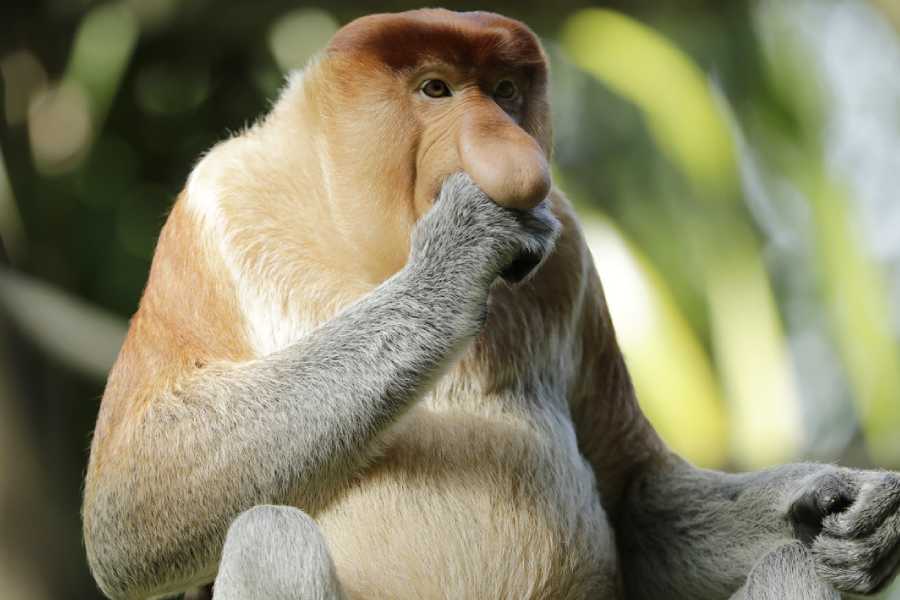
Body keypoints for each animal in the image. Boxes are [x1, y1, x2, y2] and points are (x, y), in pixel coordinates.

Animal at [81, 9, 900, 600]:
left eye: (505, 91)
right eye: (436, 89)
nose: (515, 156)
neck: (370, 246)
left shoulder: (570, 253)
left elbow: (636, 497)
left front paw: (849, 505)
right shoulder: (211, 211)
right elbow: (128, 505)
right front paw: (462, 248)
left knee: (791, 564)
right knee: (268, 531)